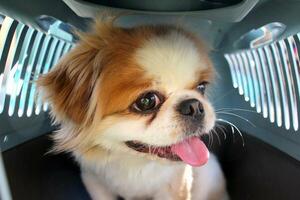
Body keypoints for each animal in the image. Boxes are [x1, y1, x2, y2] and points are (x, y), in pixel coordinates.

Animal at [38, 16, 229, 200]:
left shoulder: (176, 186)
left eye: (201, 87)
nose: (194, 105)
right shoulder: (94, 180)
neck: (134, 163)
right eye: (147, 101)